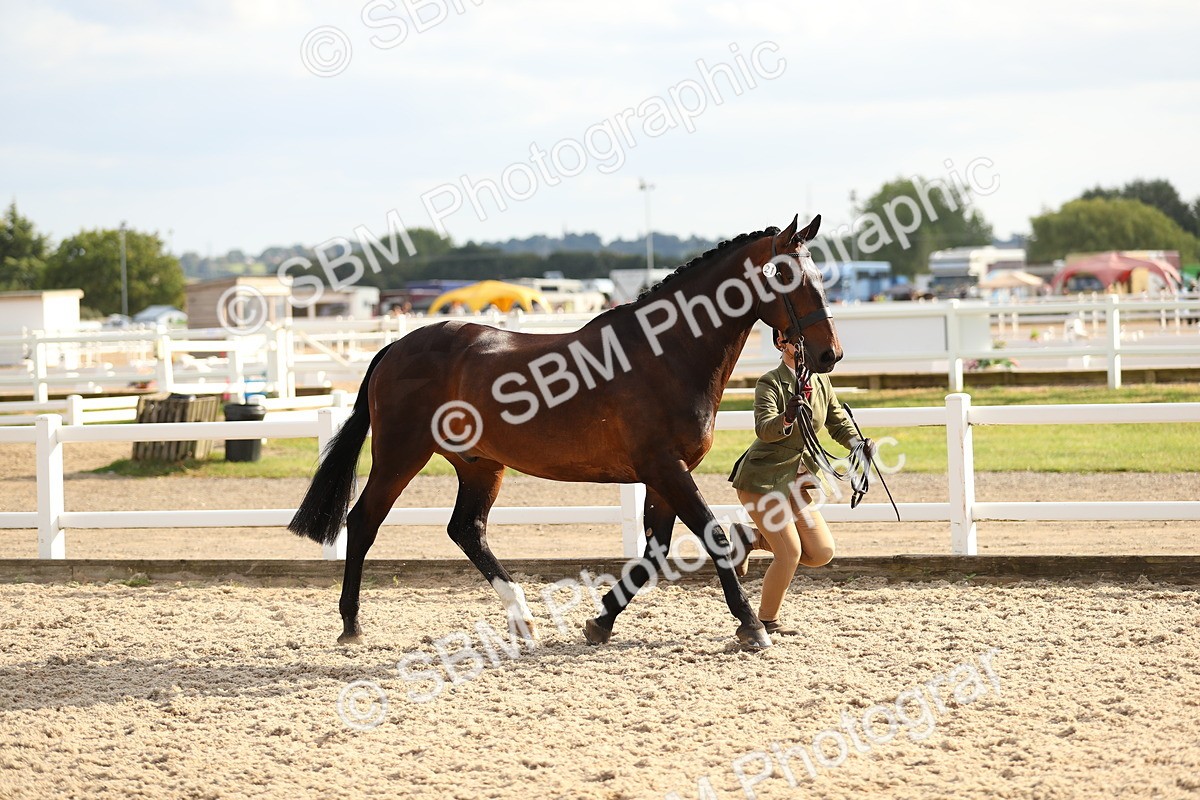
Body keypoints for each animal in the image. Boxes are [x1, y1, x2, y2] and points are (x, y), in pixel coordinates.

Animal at [289, 214, 842, 650]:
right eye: (786, 274)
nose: (828, 354)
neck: (666, 353)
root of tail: (395, 347)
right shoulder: (666, 467)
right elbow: (713, 537)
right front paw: (751, 626)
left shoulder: (663, 475)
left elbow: (654, 553)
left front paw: (601, 622)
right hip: (401, 455)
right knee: (363, 521)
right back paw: (352, 625)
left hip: (480, 464)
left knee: (467, 529)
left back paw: (522, 619)